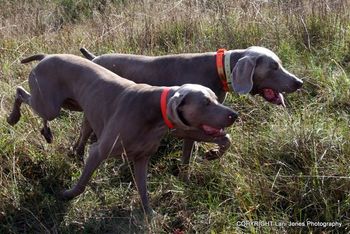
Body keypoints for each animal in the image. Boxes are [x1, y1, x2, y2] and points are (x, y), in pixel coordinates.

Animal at [6, 54, 238, 213]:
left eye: (215, 98)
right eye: (206, 103)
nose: (234, 115)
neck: (152, 112)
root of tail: (46, 56)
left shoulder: (142, 158)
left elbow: (143, 190)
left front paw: (149, 214)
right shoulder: (99, 151)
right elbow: (82, 183)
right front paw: (66, 195)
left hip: (71, 104)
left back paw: (47, 133)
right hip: (51, 106)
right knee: (19, 91)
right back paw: (13, 118)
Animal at [78, 45, 302, 163]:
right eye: (274, 67)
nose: (299, 82)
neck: (219, 70)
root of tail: (95, 58)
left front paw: (208, 157)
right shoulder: (188, 126)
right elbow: (196, 151)